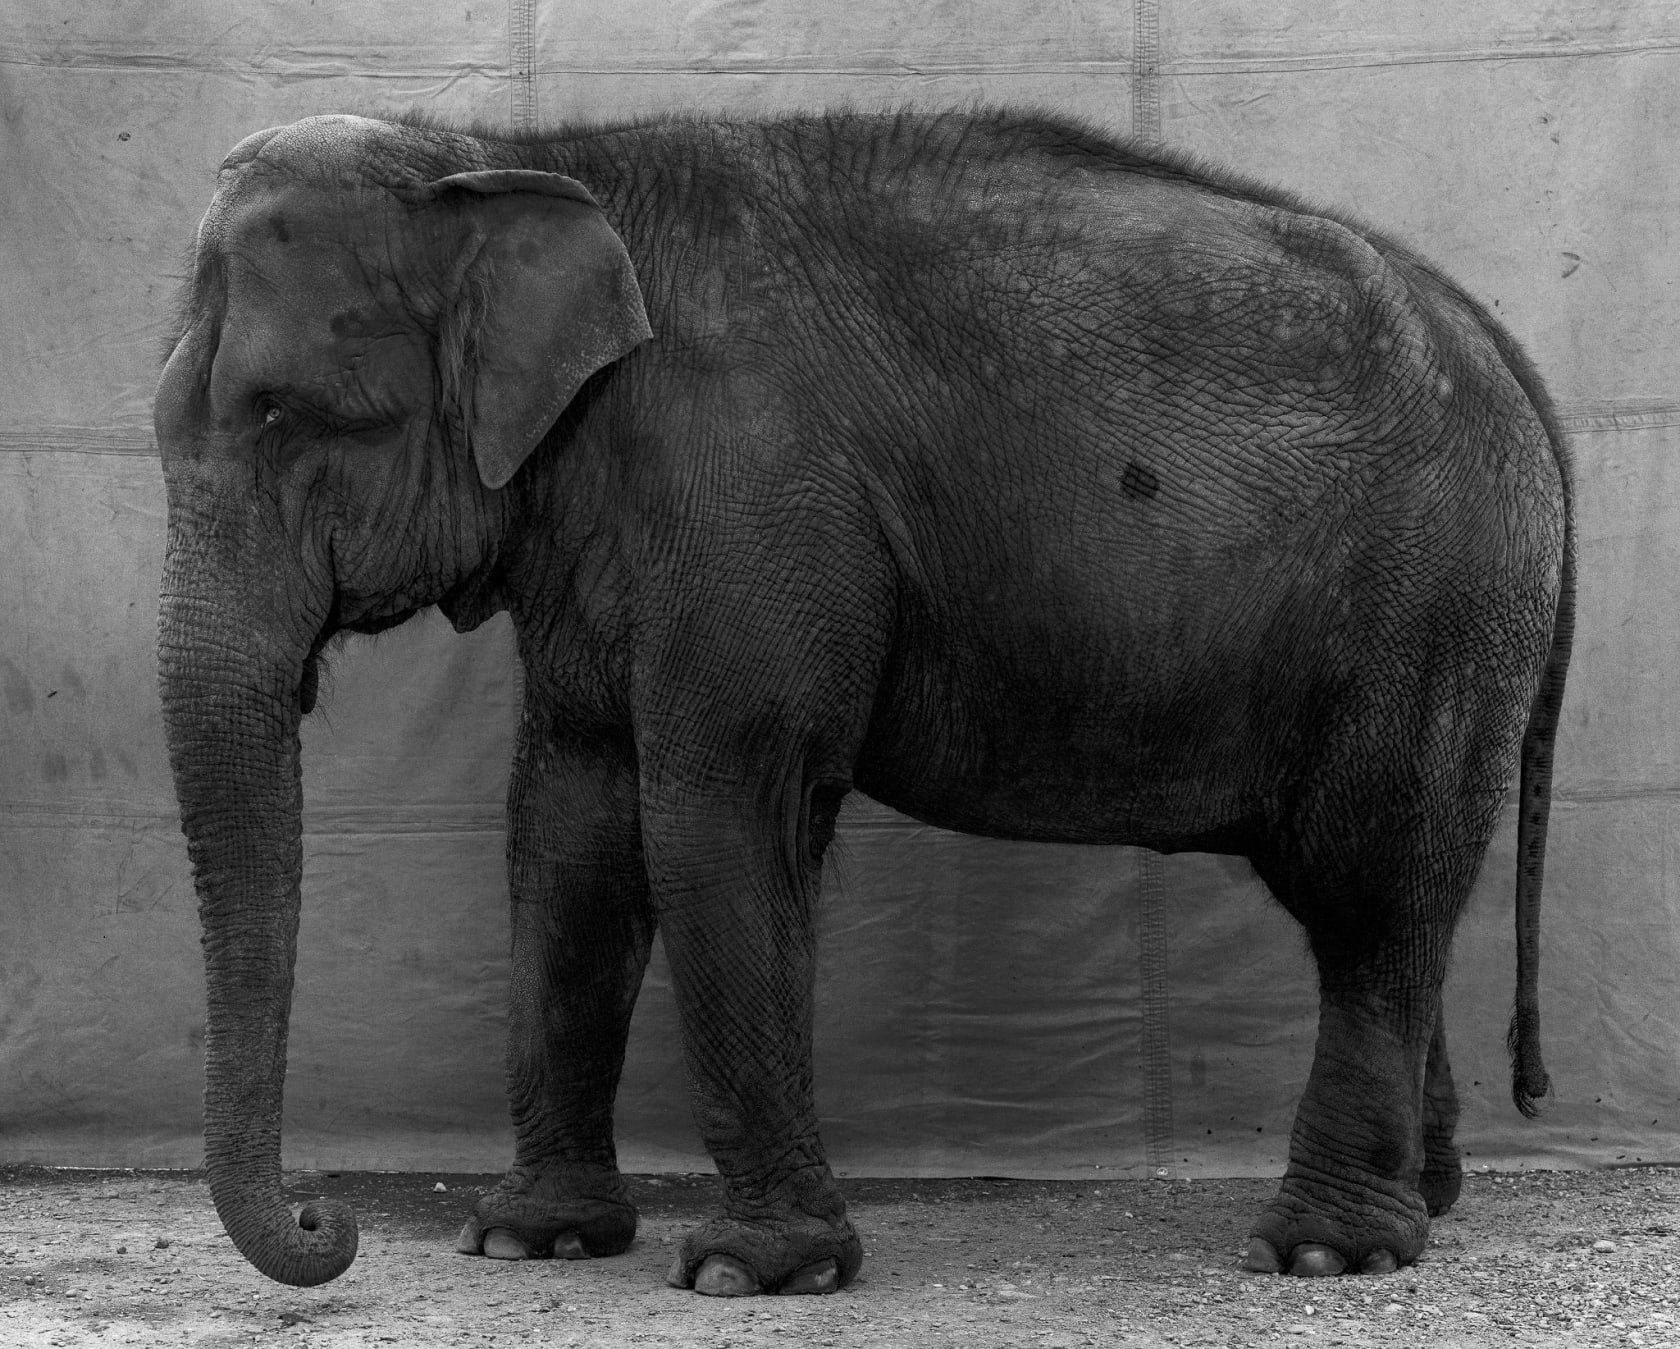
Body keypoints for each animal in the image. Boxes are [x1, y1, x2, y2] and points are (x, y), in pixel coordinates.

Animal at [154, 107, 1574, 1296]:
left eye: (286, 415)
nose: (325, 1216)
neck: (522, 159)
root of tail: (1504, 347)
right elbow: (569, 826)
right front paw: (527, 1237)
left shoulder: (751, 497)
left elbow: (721, 813)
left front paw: (751, 1271)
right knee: (1380, 900)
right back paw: (1425, 1201)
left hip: (1433, 605)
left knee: (1374, 884)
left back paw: (1327, 1248)